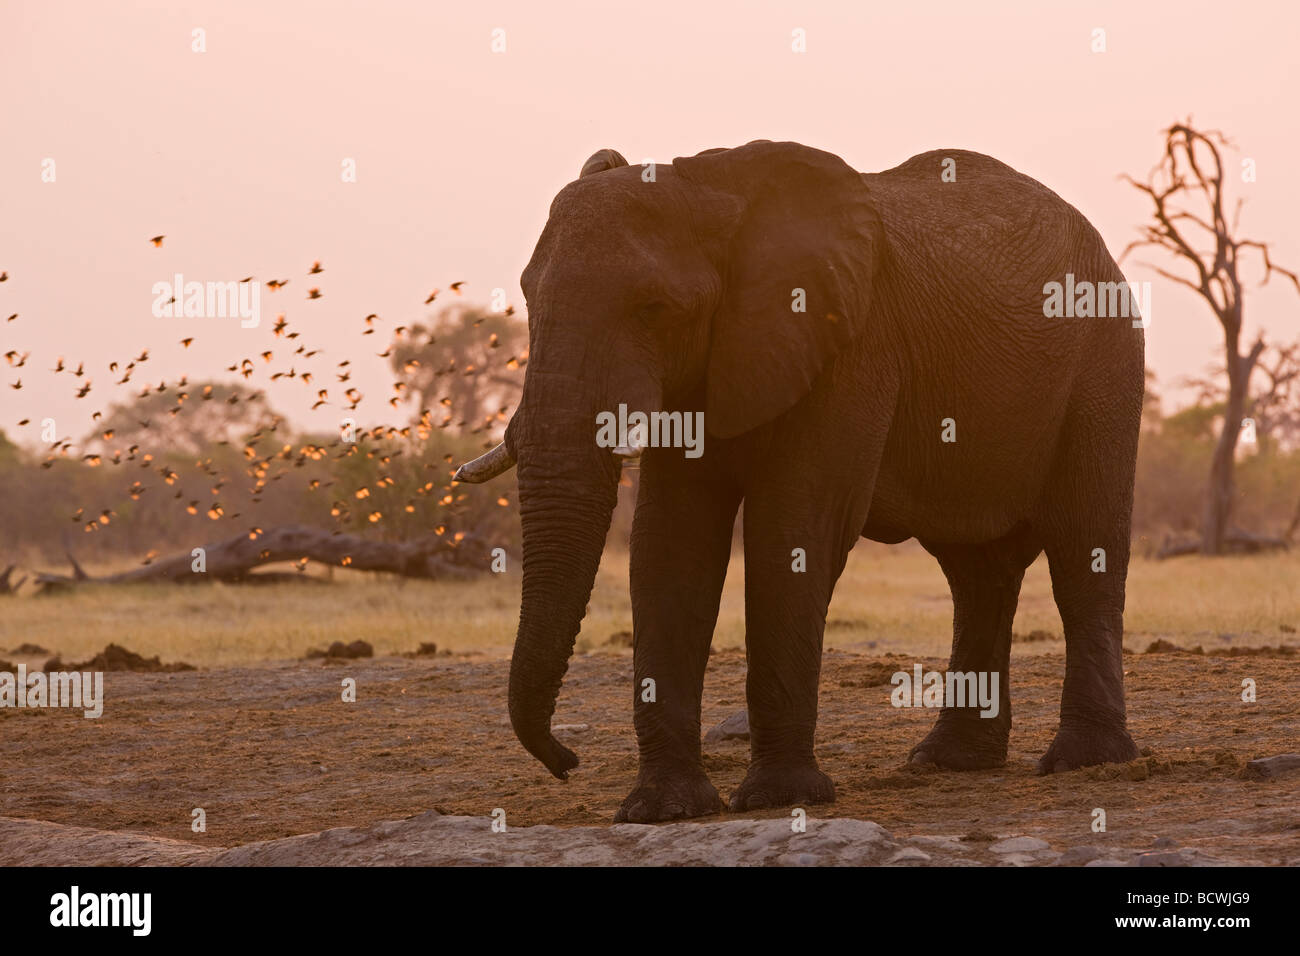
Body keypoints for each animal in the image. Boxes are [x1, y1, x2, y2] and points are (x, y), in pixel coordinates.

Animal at [452, 140, 1144, 822]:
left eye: (655, 310)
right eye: (527, 300)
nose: (565, 763)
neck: (709, 189)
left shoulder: (851, 345)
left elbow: (795, 528)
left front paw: (778, 799)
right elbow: (669, 545)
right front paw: (662, 810)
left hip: (1105, 360)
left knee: (1082, 551)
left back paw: (1084, 762)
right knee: (977, 574)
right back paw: (948, 762)